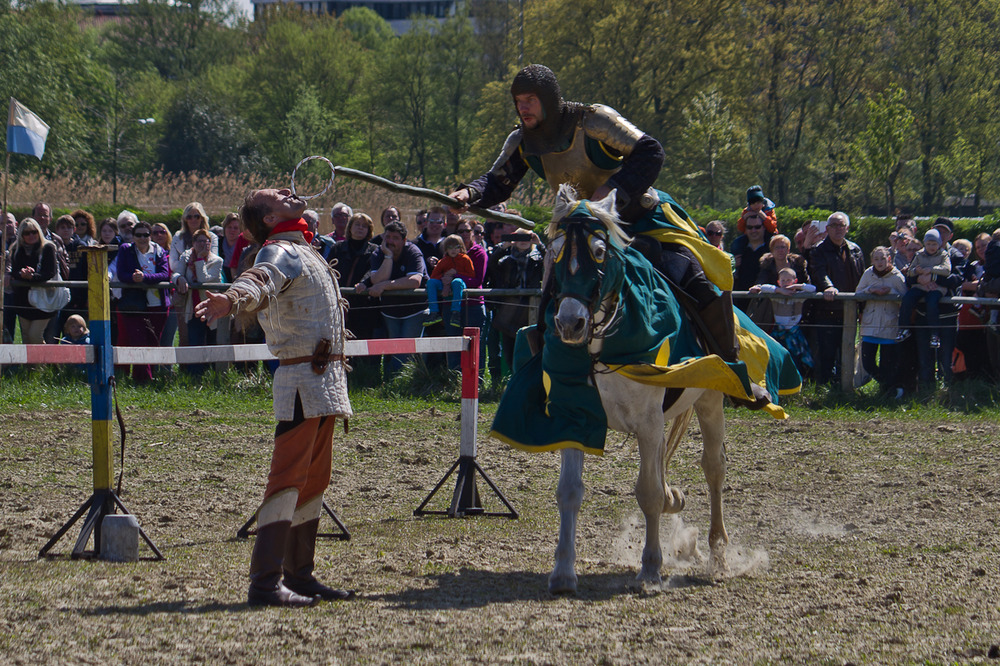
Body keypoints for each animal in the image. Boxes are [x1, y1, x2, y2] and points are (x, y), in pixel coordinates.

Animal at [544, 187, 732, 592]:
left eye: (599, 251)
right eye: (554, 252)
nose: (570, 323)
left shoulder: (648, 422)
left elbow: (648, 493)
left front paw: (650, 569)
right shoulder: (574, 418)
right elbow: (569, 492)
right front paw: (563, 571)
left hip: (709, 399)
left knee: (713, 468)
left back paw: (718, 554)